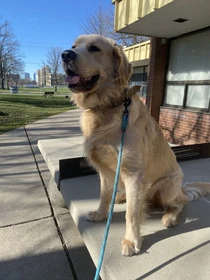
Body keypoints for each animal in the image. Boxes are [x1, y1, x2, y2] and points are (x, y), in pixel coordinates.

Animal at [61, 34, 210, 256]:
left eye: (94, 48)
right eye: (74, 46)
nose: (65, 55)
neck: (108, 105)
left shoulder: (133, 172)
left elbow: (131, 213)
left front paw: (131, 241)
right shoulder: (104, 170)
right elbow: (104, 196)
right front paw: (100, 214)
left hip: (167, 188)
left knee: (179, 204)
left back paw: (169, 217)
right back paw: (120, 197)